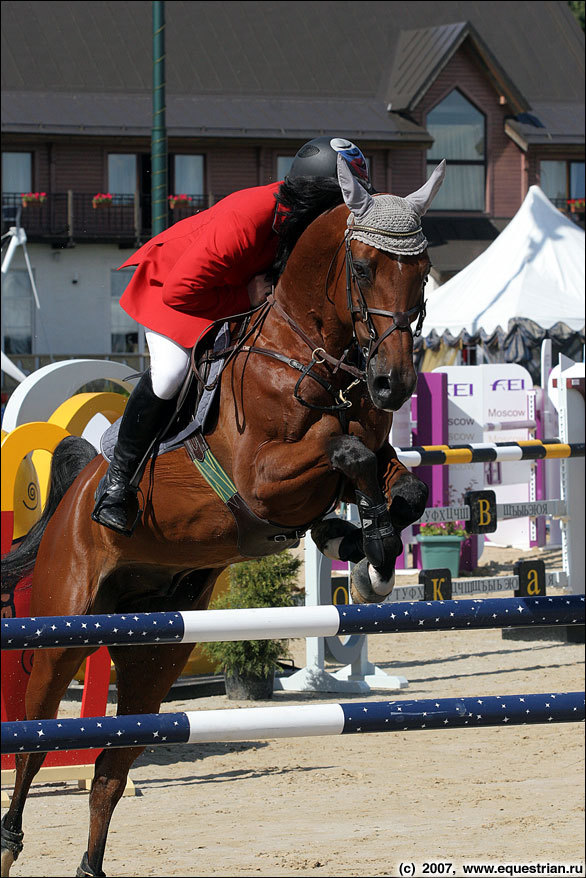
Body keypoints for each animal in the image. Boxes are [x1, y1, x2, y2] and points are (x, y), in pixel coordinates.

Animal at [2, 158, 444, 878]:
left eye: (424, 269)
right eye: (360, 267)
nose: (394, 385)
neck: (307, 354)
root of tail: (72, 498)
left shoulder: (373, 453)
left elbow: (402, 488)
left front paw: (365, 549)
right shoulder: (263, 481)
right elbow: (342, 451)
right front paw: (361, 543)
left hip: (155, 655)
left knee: (110, 770)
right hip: (63, 630)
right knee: (34, 747)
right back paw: (9, 843)